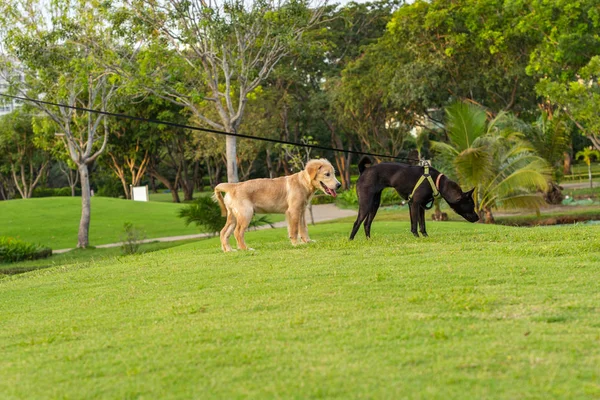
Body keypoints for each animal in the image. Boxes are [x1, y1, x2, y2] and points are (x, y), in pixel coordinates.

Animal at [346, 155, 478, 238]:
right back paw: (351, 240)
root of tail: (363, 171)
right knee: (357, 223)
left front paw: (425, 236)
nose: (477, 218)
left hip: (375, 204)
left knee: (366, 224)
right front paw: (417, 237)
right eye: (472, 205)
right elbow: (414, 223)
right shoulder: (414, 204)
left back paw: (369, 240)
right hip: (366, 203)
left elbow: (422, 224)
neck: (437, 182)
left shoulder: (420, 206)